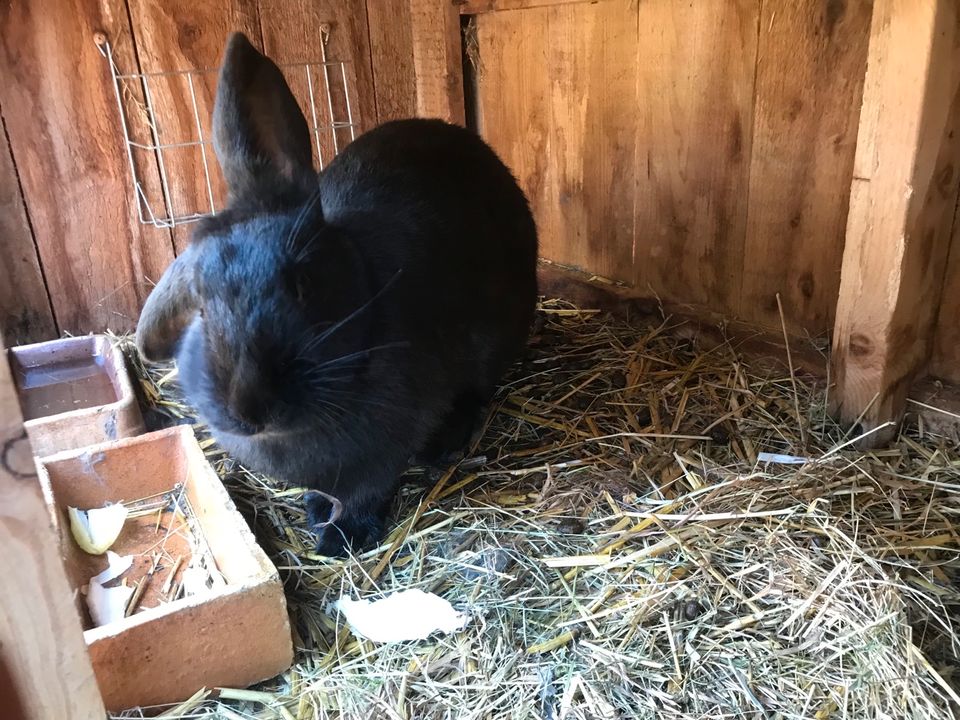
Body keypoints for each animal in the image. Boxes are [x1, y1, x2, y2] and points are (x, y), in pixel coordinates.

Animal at [136, 33, 540, 556]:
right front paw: (316, 511)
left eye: (302, 284)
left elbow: (366, 490)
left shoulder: (386, 445)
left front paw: (340, 538)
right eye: (201, 304)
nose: (249, 409)